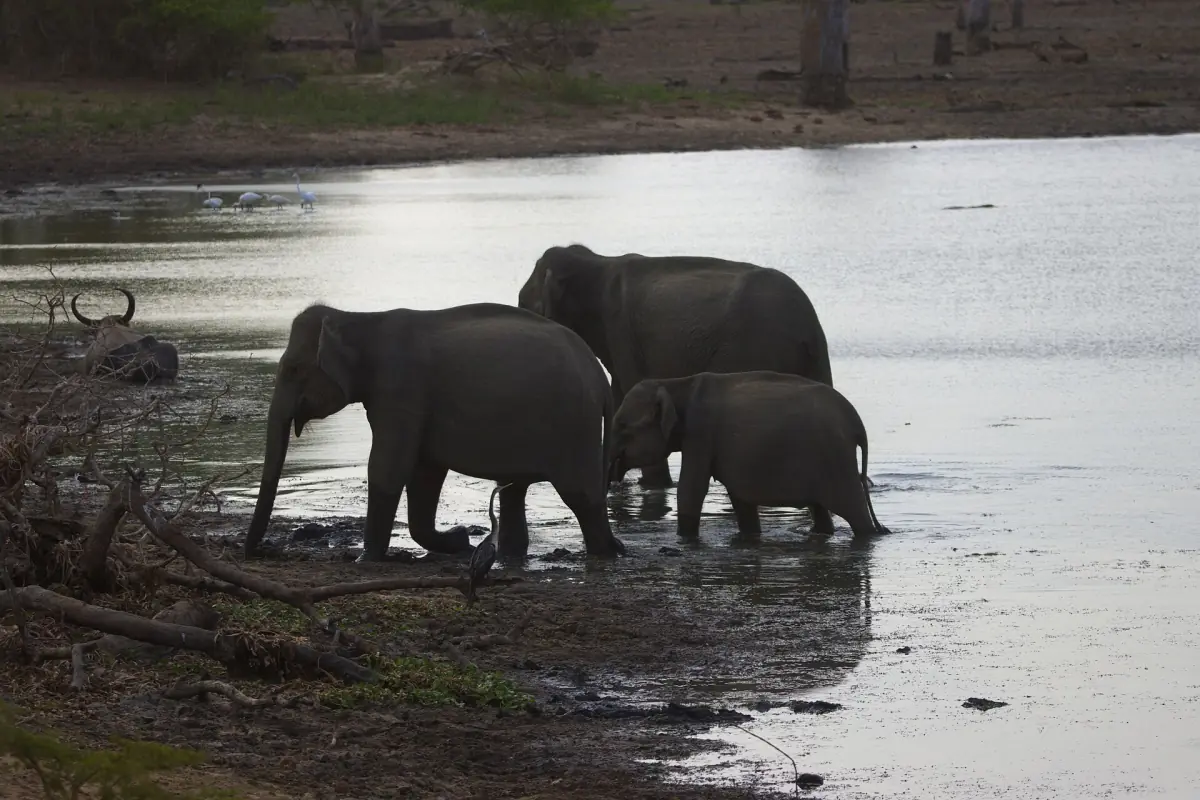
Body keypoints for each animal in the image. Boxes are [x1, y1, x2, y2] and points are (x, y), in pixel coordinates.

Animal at [244, 302, 624, 561]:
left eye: (293, 369)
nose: (255, 551)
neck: (360, 318)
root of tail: (599, 376)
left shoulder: (400, 389)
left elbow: (388, 467)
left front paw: (365, 560)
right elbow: (424, 472)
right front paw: (459, 540)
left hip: (573, 426)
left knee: (580, 494)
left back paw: (609, 551)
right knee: (514, 492)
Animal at [517, 244, 833, 510]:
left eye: (527, 305)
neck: (593, 262)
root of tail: (808, 327)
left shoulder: (620, 330)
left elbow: (631, 388)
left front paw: (653, 485)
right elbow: (620, 394)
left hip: (755, 347)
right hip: (815, 360)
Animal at [609, 371, 890, 541]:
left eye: (622, 425)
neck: (675, 383)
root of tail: (857, 424)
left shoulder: (700, 433)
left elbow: (691, 489)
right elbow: (740, 498)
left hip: (835, 458)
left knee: (854, 512)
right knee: (821, 510)